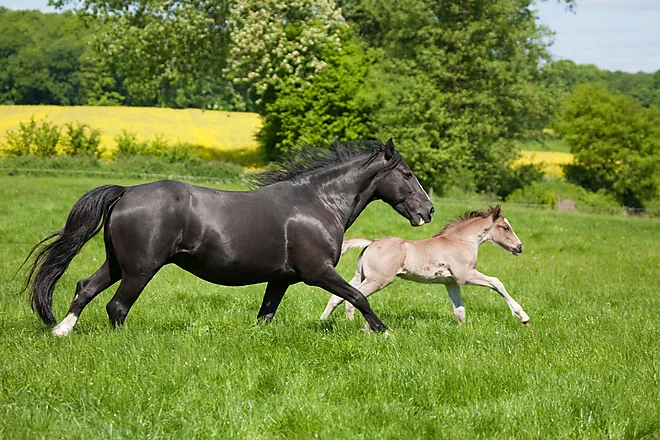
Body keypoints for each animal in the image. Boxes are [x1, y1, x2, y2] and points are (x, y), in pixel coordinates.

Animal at [24, 139, 434, 336]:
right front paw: (384, 333)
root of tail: (127, 192)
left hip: (117, 264)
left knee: (84, 288)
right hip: (141, 269)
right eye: (408, 174)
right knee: (116, 307)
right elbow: (357, 296)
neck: (317, 203)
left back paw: (61, 331)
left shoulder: (280, 279)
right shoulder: (318, 272)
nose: (428, 211)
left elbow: (265, 315)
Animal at [320, 205, 531, 325]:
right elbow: (497, 282)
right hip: (378, 280)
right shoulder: (465, 275)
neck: (462, 241)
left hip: (361, 276)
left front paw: (463, 331)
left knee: (337, 297)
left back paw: (322, 321)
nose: (520, 247)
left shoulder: (451, 282)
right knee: (354, 298)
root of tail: (371, 242)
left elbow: (459, 310)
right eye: (506, 228)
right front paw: (523, 317)